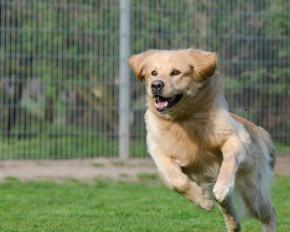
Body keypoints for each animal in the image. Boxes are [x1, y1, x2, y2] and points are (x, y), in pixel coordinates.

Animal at [129, 48, 276, 231]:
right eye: (153, 73)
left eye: (175, 72)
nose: (156, 85)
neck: (183, 119)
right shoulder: (157, 149)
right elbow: (176, 180)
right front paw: (203, 201)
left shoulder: (236, 137)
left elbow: (229, 161)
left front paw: (222, 186)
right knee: (227, 206)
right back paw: (232, 224)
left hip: (252, 190)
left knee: (269, 213)